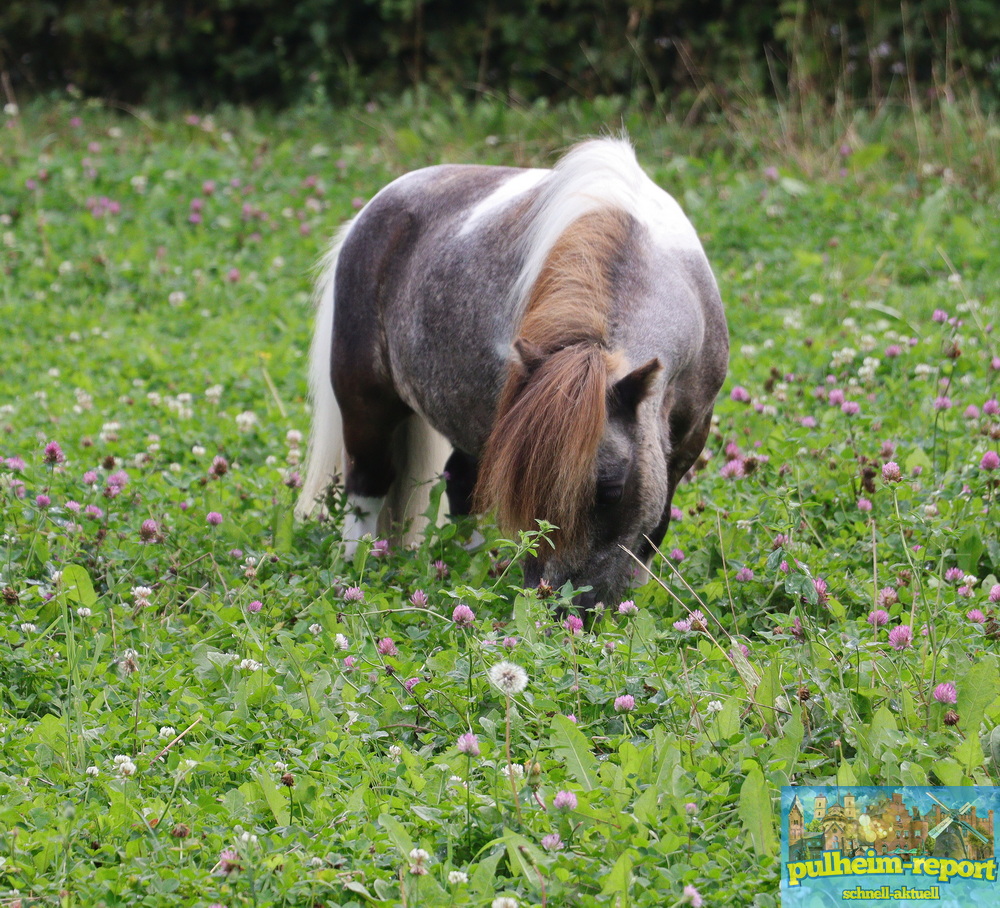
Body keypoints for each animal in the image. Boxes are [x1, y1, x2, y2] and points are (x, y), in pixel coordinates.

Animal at [294, 138, 728, 608]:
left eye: (610, 489)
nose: (558, 606)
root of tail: (373, 208)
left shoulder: (686, 441)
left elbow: (655, 525)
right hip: (365, 401)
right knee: (367, 483)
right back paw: (357, 565)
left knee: (459, 482)